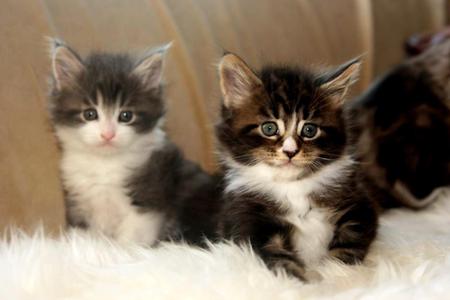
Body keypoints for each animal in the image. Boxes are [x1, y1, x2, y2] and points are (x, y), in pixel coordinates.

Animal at [48, 38, 221, 246]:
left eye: (126, 116)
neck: (104, 164)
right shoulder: (78, 201)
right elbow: (84, 236)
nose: (108, 134)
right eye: (90, 114)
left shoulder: (147, 202)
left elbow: (130, 239)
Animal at [216, 53, 378, 278]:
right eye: (269, 128)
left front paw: (334, 274)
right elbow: (276, 256)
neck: (293, 187)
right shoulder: (245, 218)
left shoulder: (359, 204)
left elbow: (348, 243)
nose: (290, 151)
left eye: (309, 130)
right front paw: (296, 280)